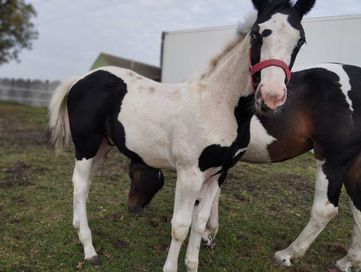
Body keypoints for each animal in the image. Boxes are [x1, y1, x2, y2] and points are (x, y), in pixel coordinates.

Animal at [48, 1, 316, 270]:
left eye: (301, 40)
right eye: (255, 34)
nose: (271, 96)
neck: (216, 105)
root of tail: (81, 79)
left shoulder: (217, 174)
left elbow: (199, 223)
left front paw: (192, 263)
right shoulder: (190, 174)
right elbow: (180, 226)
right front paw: (170, 267)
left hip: (103, 145)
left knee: (85, 184)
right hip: (87, 145)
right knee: (81, 185)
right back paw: (89, 249)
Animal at [126, 62, 360, 272]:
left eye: (133, 172)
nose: (132, 208)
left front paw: (206, 234)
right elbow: (215, 195)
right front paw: (209, 233)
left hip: (332, 160)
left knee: (324, 210)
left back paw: (288, 254)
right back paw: (349, 261)